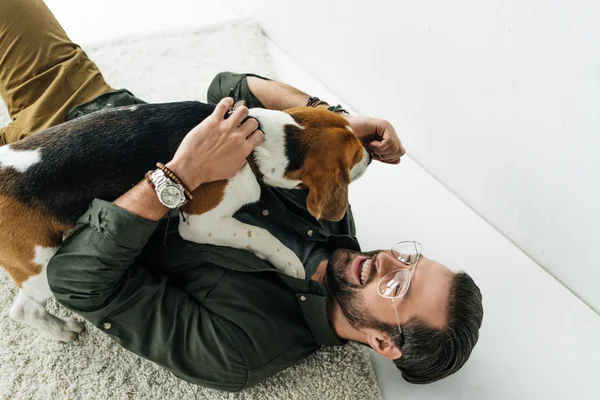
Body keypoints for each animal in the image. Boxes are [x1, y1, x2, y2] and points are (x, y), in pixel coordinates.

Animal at [0, 101, 370, 340]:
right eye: (354, 156)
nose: (369, 154)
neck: (261, 140)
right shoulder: (202, 223)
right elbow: (261, 234)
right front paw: (289, 262)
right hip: (41, 264)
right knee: (22, 310)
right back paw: (62, 330)